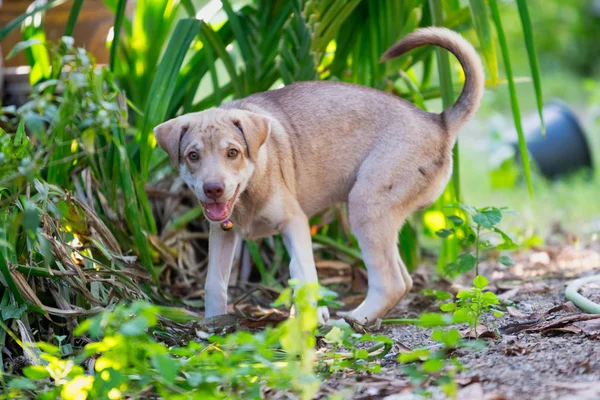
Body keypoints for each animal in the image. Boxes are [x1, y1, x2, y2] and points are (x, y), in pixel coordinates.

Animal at [154, 28, 482, 326]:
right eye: (192, 156)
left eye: (232, 152)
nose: (213, 190)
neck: (249, 189)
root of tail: (438, 122)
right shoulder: (223, 232)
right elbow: (215, 282)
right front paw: (214, 324)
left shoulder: (294, 221)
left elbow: (303, 272)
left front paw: (311, 319)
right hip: (381, 215)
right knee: (404, 279)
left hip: (366, 204)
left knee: (391, 282)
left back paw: (351, 321)